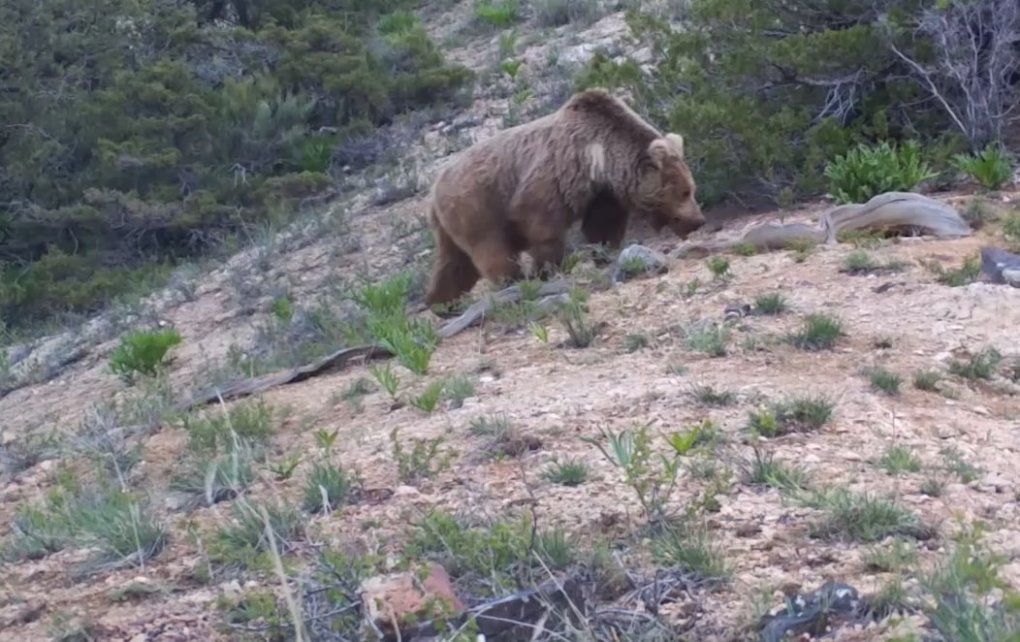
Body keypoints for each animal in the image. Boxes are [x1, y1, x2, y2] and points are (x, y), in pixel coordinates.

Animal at [420, 86, 701, 306]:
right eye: (685, 191)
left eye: (691, 188)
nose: (699, 220)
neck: (601, 158)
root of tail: (433, 191)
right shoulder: (557, 174)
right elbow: (541, 223)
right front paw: (550, 268)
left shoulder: (602, 192)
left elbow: (603, 224)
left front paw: (604, 251)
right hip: (477, 206)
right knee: (491, 250)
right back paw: (512, 281)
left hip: (451, 224)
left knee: (453, 264)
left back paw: (441, 302)